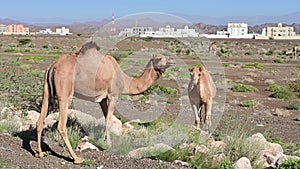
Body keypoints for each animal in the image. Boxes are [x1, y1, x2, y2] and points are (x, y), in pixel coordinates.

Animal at [35, 41, 175, 164]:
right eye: (159, 58)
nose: (171, 61)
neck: (125, 80)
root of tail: (53, 66)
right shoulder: (113, 95)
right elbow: (108, 119)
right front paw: (109, 144)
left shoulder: (102, 99)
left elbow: (107, 117)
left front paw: (105, 141)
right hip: (65, 93)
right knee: (61, 125)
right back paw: (77, 158)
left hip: (46, 91)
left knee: (40, 120)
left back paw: (39, 153)